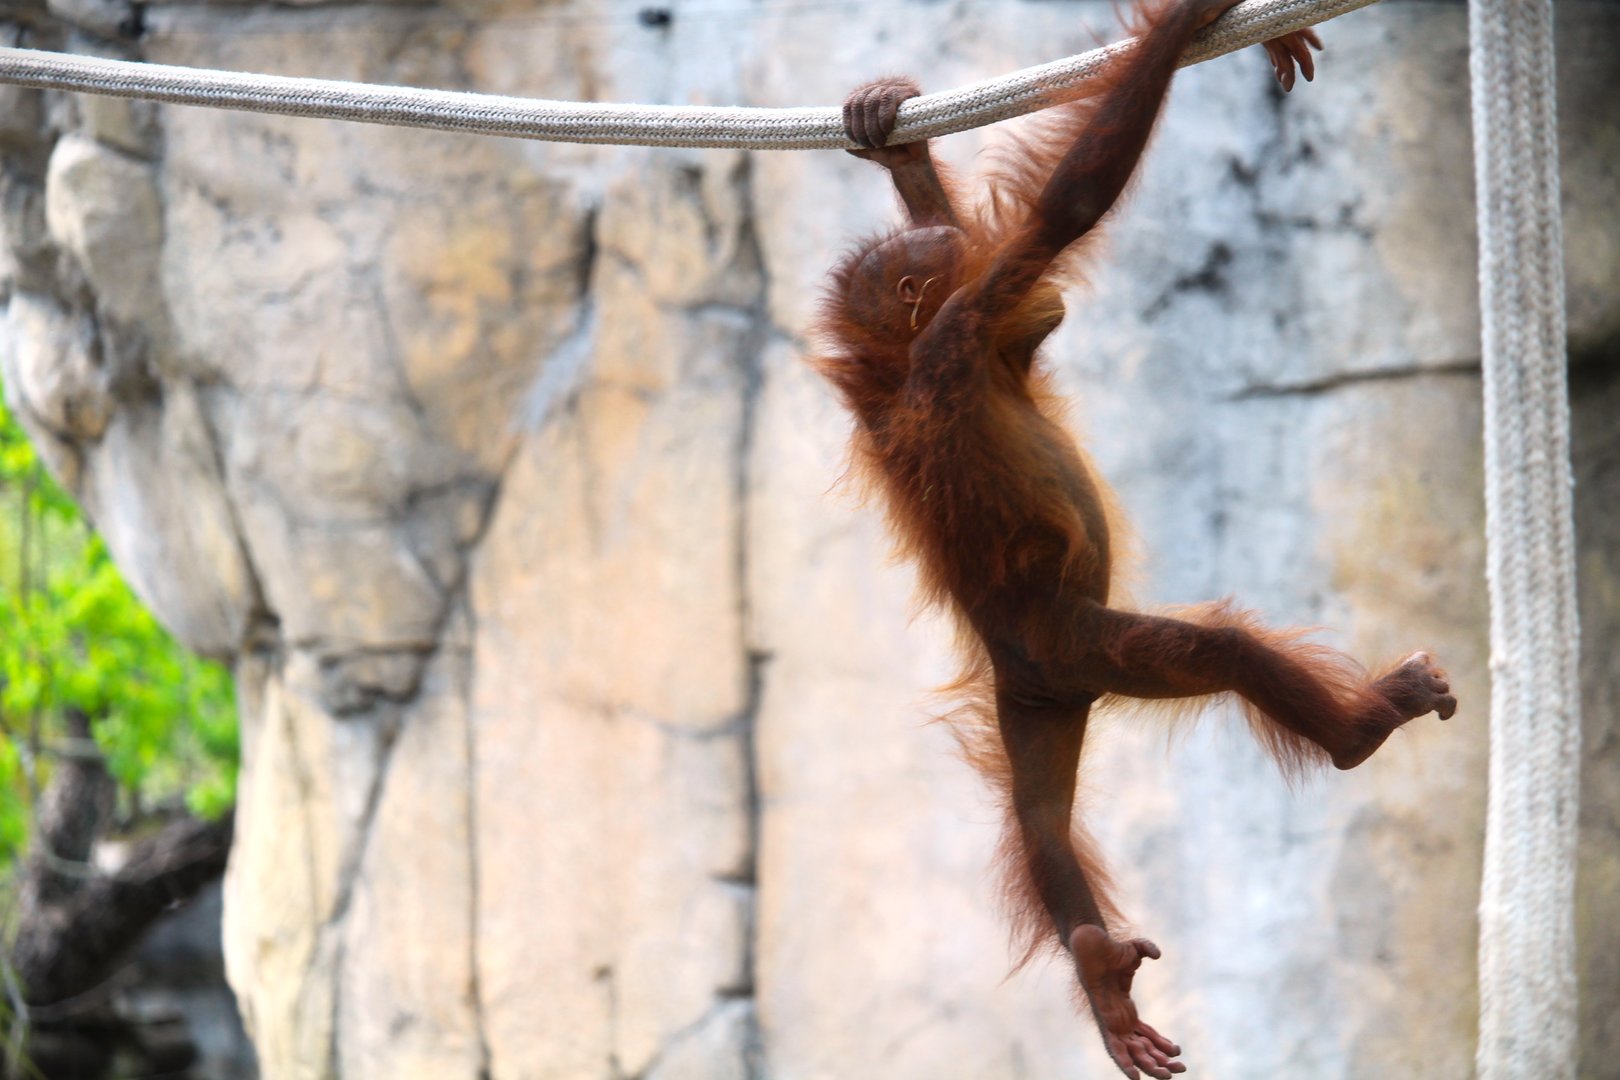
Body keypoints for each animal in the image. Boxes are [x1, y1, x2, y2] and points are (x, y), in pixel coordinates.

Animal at [812, 3, 1456, 1077]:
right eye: (961, 265)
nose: (1046, 305)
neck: (900, 368)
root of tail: (1031, 660)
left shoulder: (975, 339)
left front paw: (891, 134)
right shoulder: (974, 317)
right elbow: (1067, 208)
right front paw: (1194, 16)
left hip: (1040, 695)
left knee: (1039, 819)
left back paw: (1098, 971)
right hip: (1095, 644)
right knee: (1221, 652)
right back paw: (1361, 728)